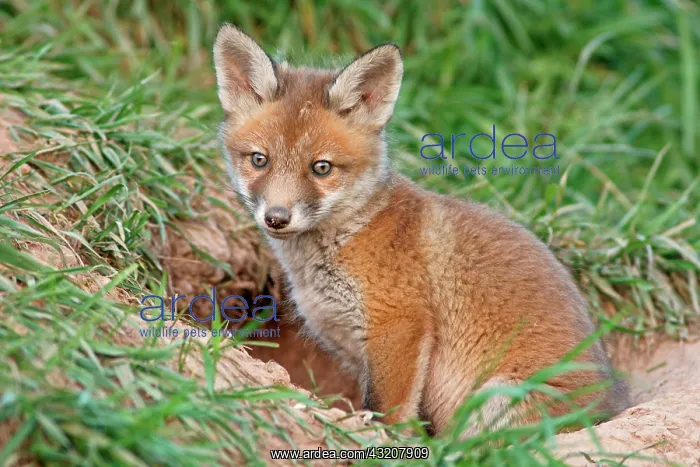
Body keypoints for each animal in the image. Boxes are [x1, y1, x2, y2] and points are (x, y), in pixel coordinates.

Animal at [212, 24, 630, 435]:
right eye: (259, 160)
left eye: (321, 168)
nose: (276, 217)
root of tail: (611, 408)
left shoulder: (399, 326)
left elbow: (387, 414)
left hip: (495, 399)